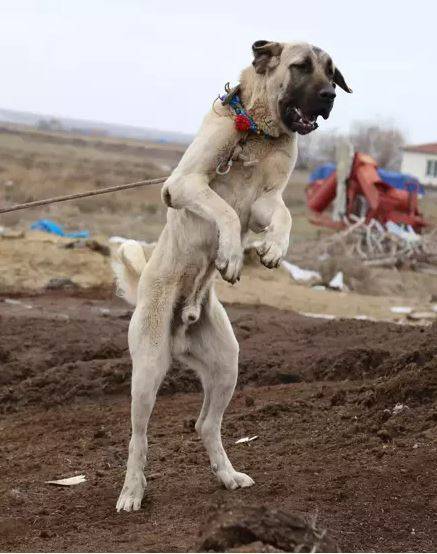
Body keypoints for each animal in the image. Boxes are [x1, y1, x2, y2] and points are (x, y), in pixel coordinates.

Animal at [112, 41, 350, 512]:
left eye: (332, 72)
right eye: (301, 67)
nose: (330, 95)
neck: (255, 131)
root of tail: (181, 327)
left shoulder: (265, 202)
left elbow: (283, 215)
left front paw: (271, 248)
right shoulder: (182, 184)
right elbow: (221, 208)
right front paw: (232, 256)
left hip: (226, 365)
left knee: (206, 424)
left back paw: (227, 475)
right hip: (147, 370)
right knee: (138, 436)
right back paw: (132, 491)